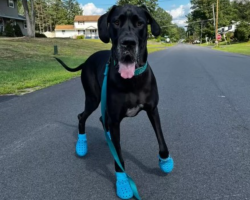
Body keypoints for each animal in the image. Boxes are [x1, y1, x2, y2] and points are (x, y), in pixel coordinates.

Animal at [55, 4, 173, 200]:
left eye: (140, 23)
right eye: (116, 22)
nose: (128, 43)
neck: (132, 80)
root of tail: (86, 60)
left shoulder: (152, 110)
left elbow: (161, 139)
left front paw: (165, 161)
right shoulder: (116, 119)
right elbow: (119, 157)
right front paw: (123, 183)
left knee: (102, 120)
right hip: (93, 98)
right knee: (82, 116)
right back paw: (82, 145)